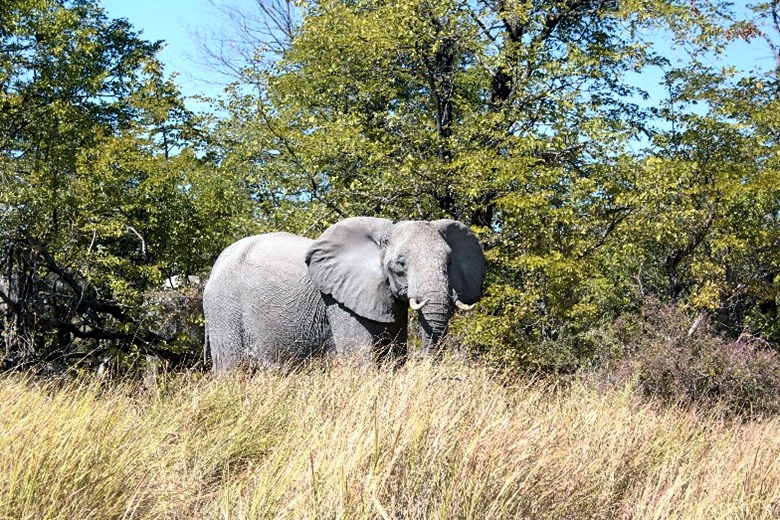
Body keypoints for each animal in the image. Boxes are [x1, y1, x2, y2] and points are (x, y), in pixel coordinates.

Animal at [203, 215, 482, 370]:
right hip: (223, 308)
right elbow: (359, 358)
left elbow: (394, 357)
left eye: (449, 262)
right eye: (400, 265)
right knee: (232, 368)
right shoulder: (339, 303)